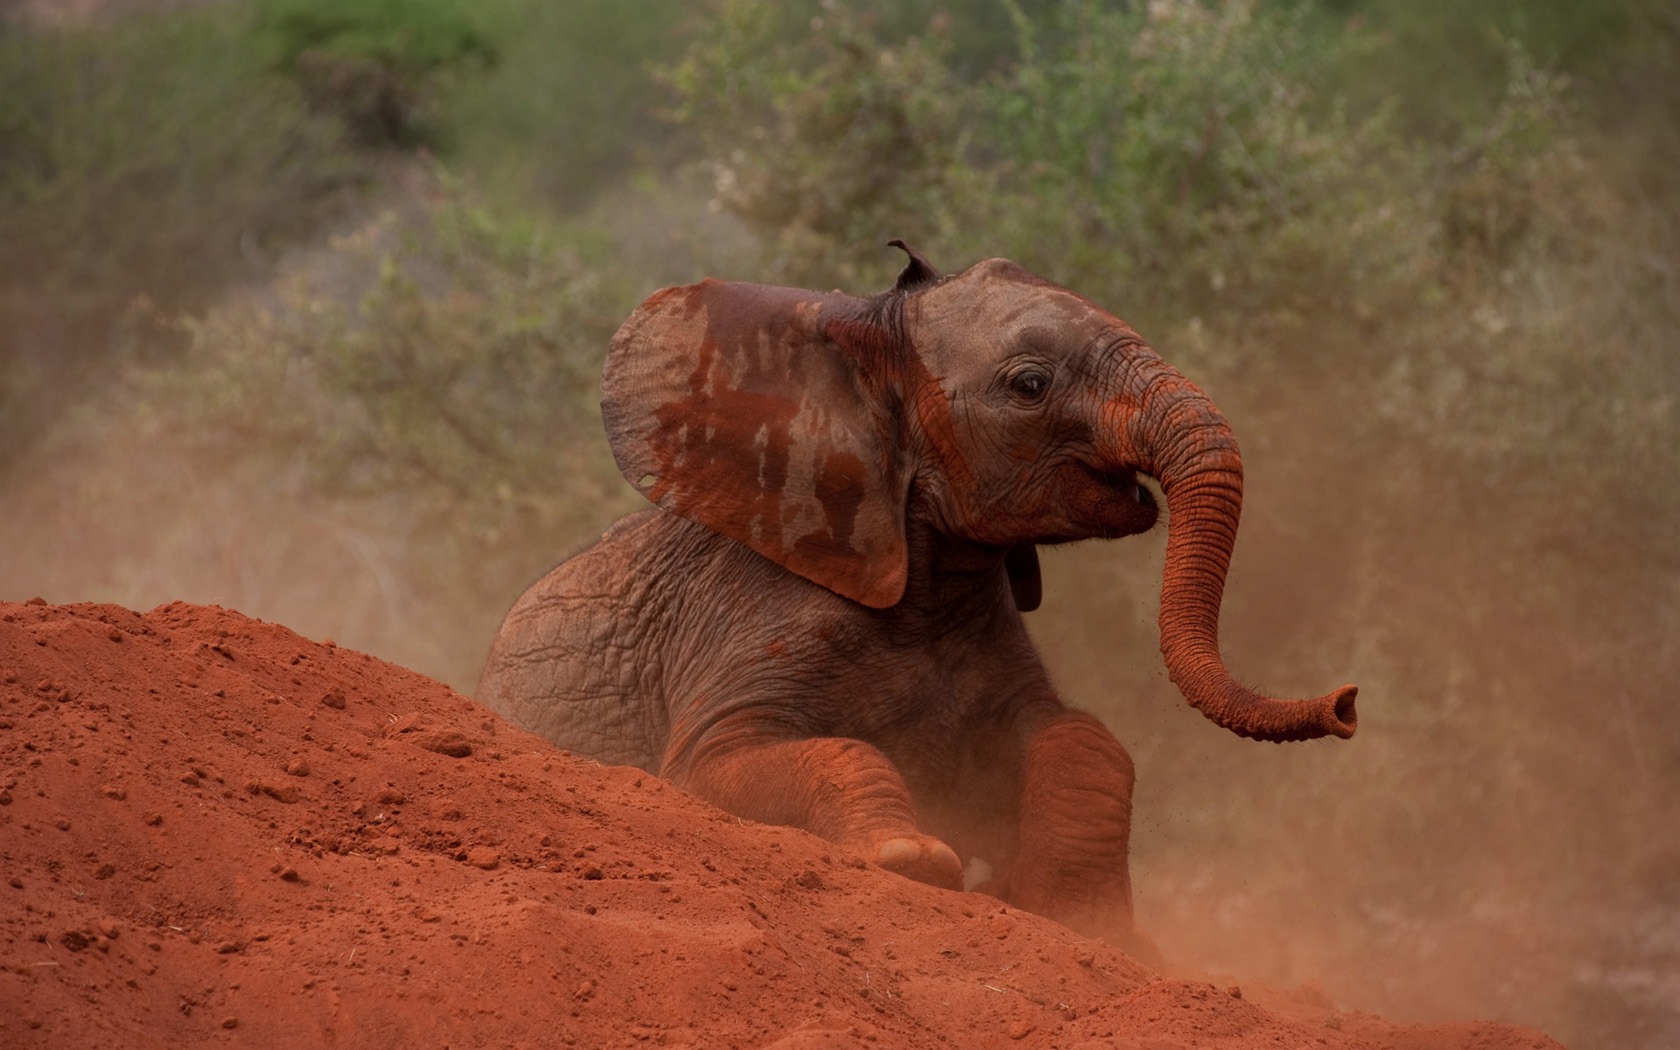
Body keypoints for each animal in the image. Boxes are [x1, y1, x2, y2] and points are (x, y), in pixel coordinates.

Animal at [477, 246, 1350, 940]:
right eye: (1030, 385)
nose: (1347, 704)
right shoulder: (744, 621)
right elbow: (717, 766)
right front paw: (913, 858)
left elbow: (1081, 739)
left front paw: (1074, 912)